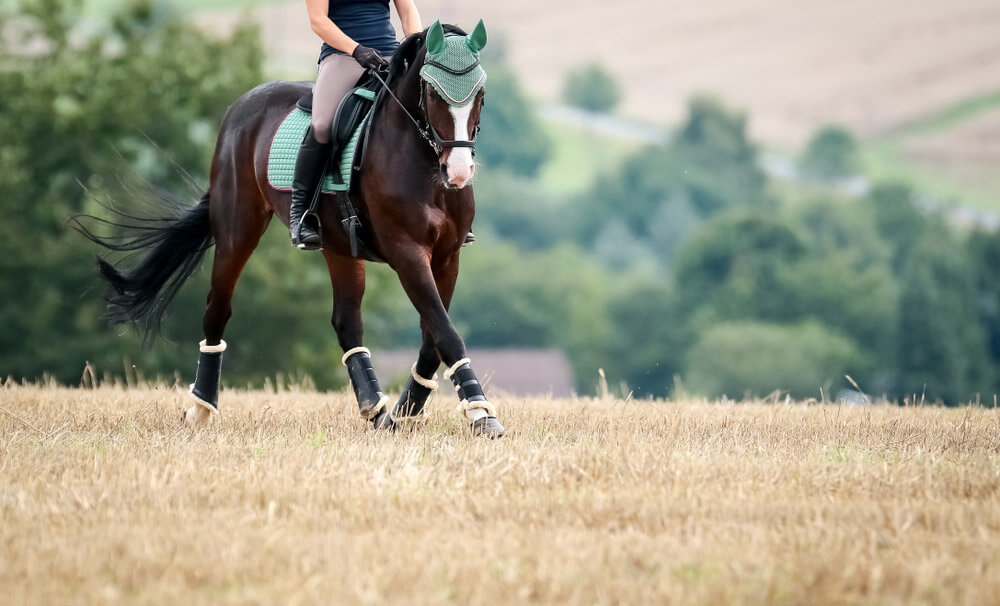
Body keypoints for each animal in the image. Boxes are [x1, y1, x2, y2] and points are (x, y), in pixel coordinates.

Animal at [76, 19, 508, 436]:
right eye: (433, 93)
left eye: (481, 94)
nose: (458, 172)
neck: (422, 162)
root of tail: (242, 106)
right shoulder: (407, 252)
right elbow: (445, 331)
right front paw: (481, 414)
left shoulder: (447, 256)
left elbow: (434, 337)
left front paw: (406, 413)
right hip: (238, 230)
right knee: (217, 309)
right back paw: (200, 409)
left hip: (339, 247)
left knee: (346, 323)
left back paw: (376, 410)